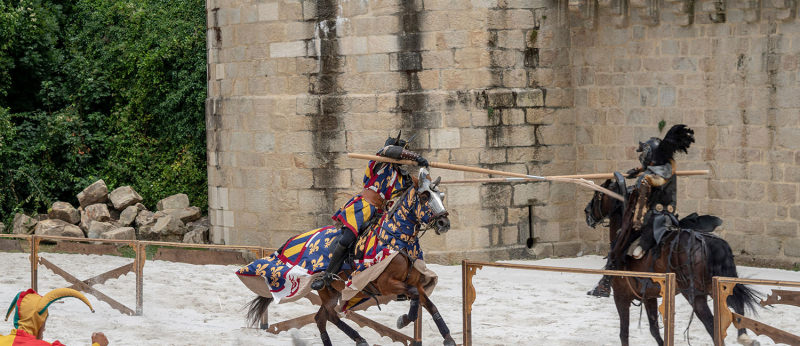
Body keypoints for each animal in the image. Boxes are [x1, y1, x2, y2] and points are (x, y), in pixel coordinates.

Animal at [244, 170, 456, 346]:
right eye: (425, 196)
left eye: (441, 196)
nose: (444, 223)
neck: (397, 238)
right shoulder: (386, 284)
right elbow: (414, 296)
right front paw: (403, 320)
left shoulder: (416, 283)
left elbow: (428, 304)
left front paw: (448, 338)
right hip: (327, 290)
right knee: (329, 316)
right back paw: (359, 339)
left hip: (333, 293)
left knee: (322, 318)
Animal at [584, 178, 760, 346]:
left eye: (598, 194)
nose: (587, 213)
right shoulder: (649, 297)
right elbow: (654, 329)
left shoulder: (621, 298)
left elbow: (624, 335)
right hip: (717, 287)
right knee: (737, 308)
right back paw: (745, 338)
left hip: (695, 295)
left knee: (712, 325)